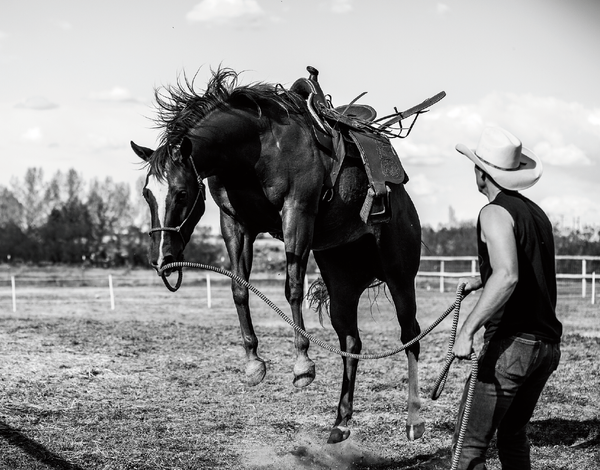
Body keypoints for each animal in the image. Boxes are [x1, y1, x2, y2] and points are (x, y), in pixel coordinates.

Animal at [131, 68, 424, 444]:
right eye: (147, 194)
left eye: (181, 193)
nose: (162, 258)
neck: (257, 148)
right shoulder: (235, 224)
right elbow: (239, 289)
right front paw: (253, 363)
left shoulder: (296, 214)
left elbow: (292, 288)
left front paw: (302, 365)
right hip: (342, 282)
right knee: (351, 342)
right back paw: (341, 422)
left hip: (400, 275)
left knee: (410, 335)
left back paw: (414, 419)